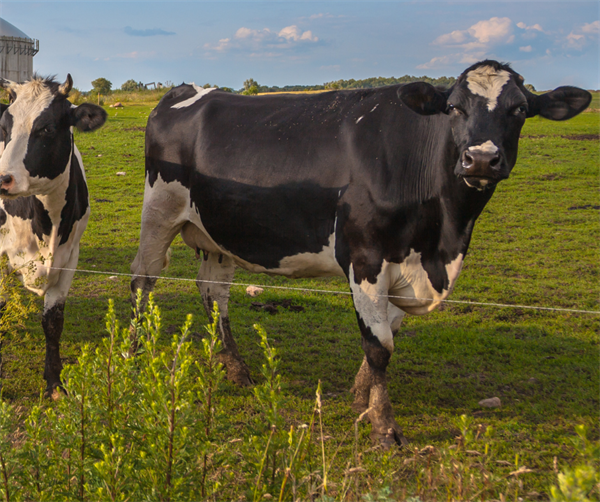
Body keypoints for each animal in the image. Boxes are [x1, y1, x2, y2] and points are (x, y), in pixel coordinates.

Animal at [0, 76, 106, 394]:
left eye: (46, 128)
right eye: (4, 128)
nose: (2, 179)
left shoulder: (69, 258)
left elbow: (53, 321)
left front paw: (54, 382)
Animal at [130, 60, 592, 446]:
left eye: (520, 109)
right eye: (454, 107)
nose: (480, 159)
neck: (442, 239)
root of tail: (187, 90)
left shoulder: (408, 266)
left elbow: (389, 333)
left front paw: (361, 397)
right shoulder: (365, 257)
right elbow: (380, 345)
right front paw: (384, 426)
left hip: (218, 232)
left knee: (214, 294)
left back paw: (236, 369)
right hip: (159, 211)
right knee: (143, 279)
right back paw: (133, 352)